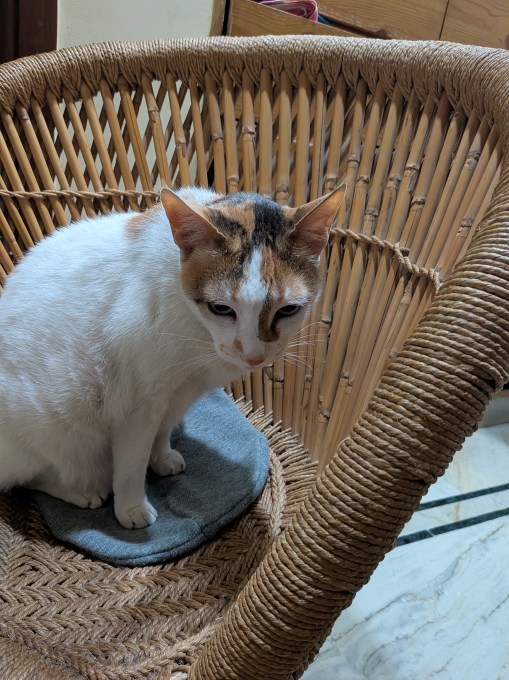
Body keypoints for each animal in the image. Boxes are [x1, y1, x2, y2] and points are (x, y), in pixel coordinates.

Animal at [0, 185, 345, 529]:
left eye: (288, 310)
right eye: (221, 308)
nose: (253, 356)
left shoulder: (180, 392)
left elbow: (162, 431)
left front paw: (162, 457)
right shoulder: (138, 405)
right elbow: (132, 464)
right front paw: (131, 507)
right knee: (33, 478)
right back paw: (83, 491)